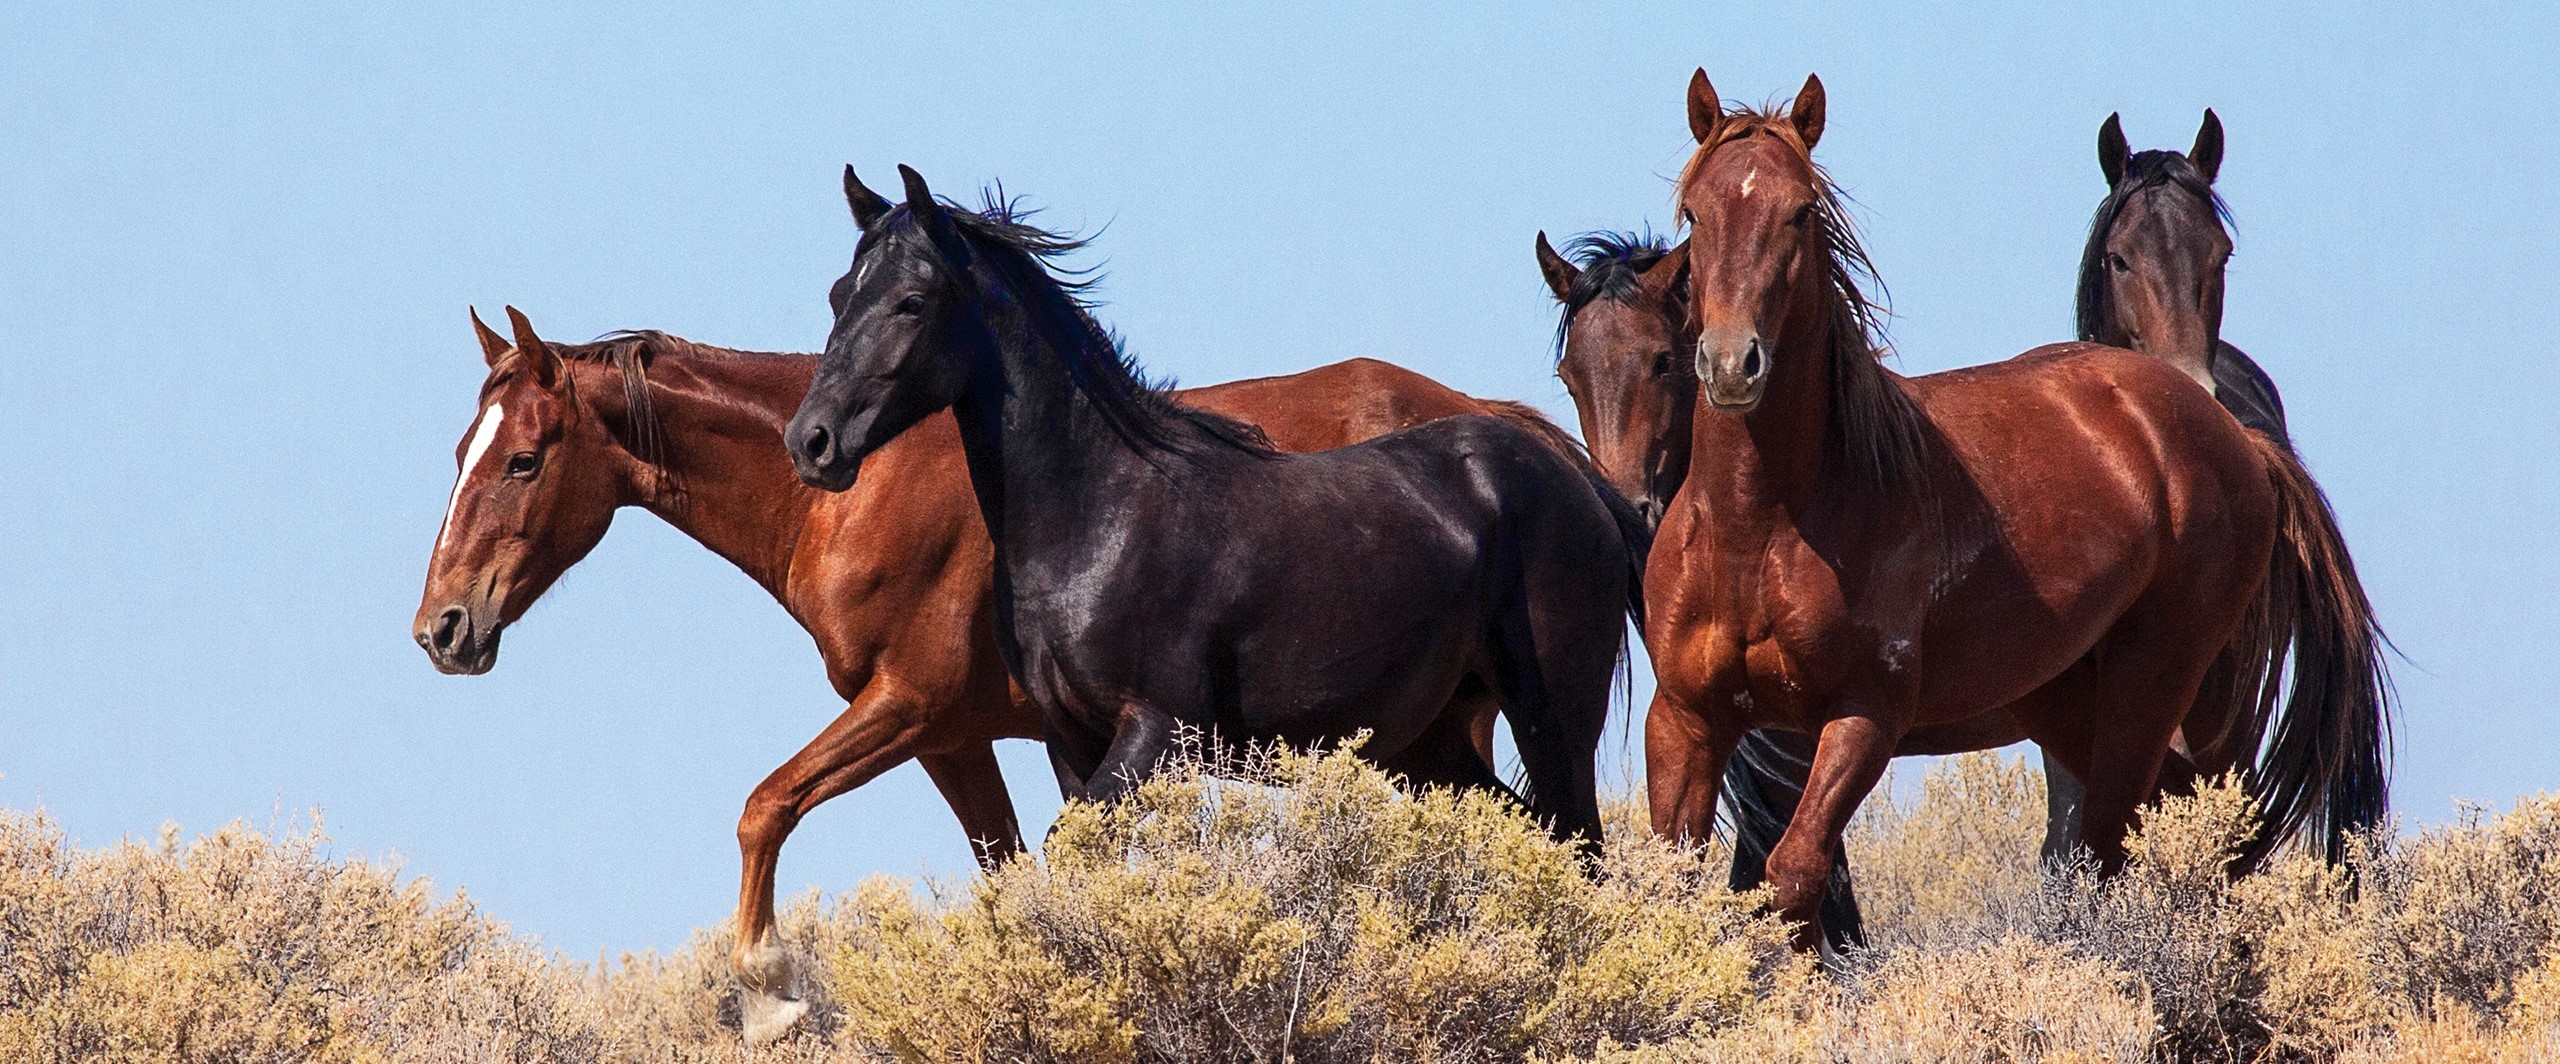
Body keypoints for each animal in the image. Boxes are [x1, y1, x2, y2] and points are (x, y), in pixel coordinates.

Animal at [412, 307, 1563, 1039]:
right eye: (461, 452)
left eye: (524, 459)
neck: (861, 486)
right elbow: (1006, 882)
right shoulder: (954, 739)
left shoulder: (908, 706)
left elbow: (764, 805)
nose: (443, 626)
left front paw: (770, 992)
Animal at [786, 165, 1647, 859]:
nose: (812, 441)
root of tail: (1576, 481)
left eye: (911, 301)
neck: (1099, 516)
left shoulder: (1157, 731)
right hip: (1432, 748)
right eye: (837, 295)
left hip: (1552, 726)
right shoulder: (1071, 743)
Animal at [1642, 70, 2389, 950]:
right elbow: (1673, 888)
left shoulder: (1862, 718)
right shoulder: (1686, 720)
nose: (1732, 364)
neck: (1757, 527)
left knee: (2129, 848)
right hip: (2071, 706)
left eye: (1799, 211)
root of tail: (2230, 432)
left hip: (2160, 690)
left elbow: (1792, 880)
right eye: (1696, 214)